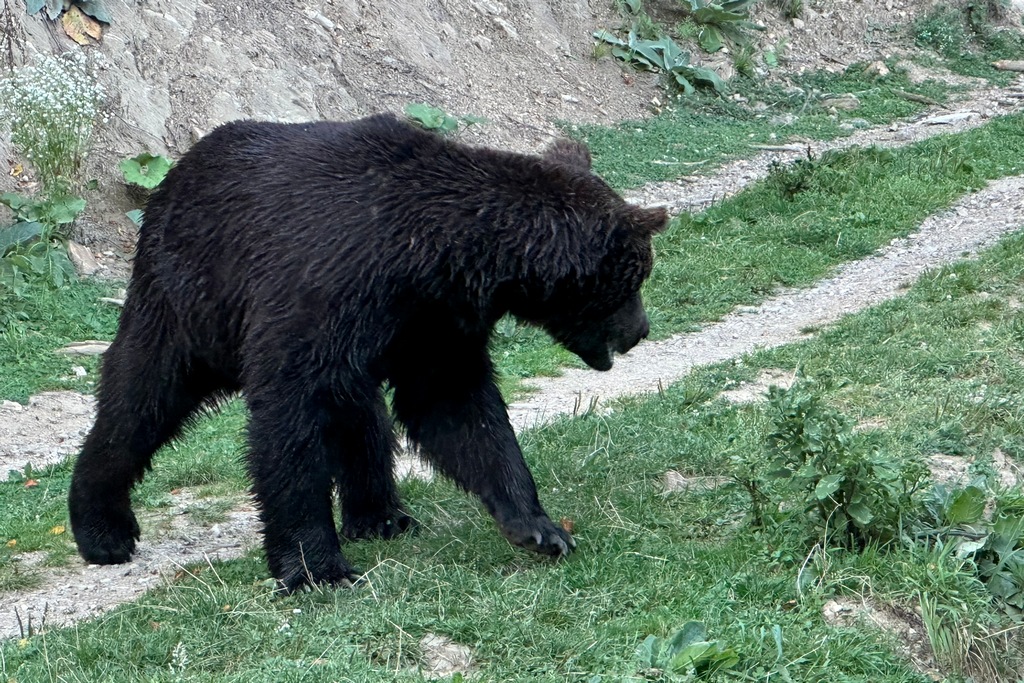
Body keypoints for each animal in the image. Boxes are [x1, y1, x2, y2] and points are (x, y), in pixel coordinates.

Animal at [68, 113, 668, 592]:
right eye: (636, 275)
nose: (640, 330)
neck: (434, 254)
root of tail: (177, 172)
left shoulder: (432, 321)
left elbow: (458, 410)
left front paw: (538, 527)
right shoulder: (319, 290)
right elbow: (291, 420)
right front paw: (316, 567)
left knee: (361, 418)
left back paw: (379, 516)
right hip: (186, 297)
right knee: (142, 395)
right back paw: (102, 526)